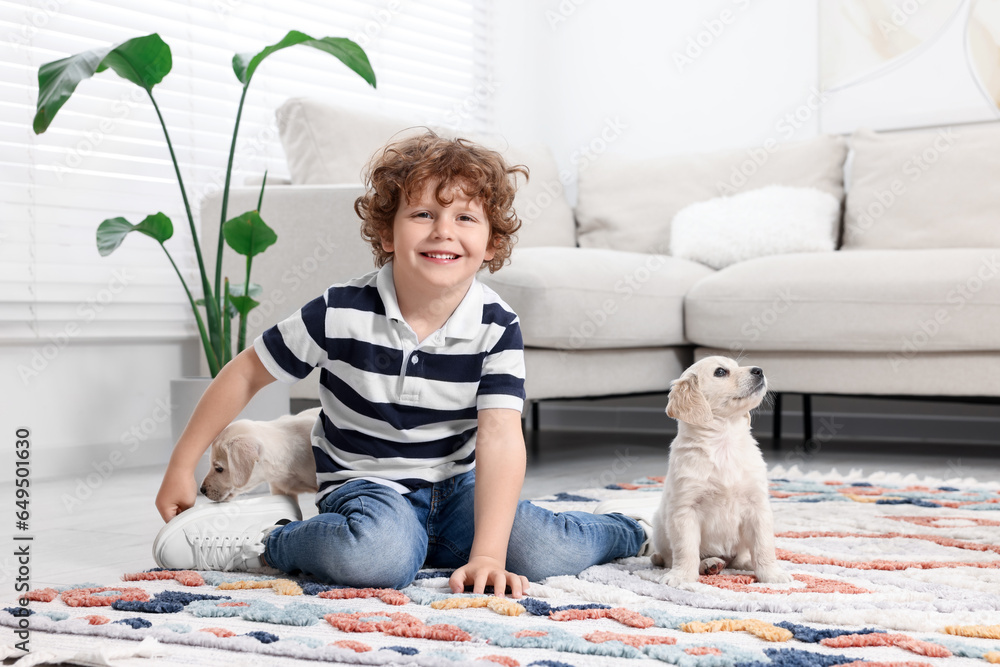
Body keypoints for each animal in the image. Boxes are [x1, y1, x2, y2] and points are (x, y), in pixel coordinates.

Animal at [652, 358, 792, 588]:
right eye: (720, 372)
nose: (759, 370)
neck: (724, 440)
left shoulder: (757, 507)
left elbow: (763, 546)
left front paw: (772, 574)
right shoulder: (685, 510)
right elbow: (685, 549)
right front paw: (681, 576)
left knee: (741, 557)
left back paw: (745, 563)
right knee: (670, 557)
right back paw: (709, 564)